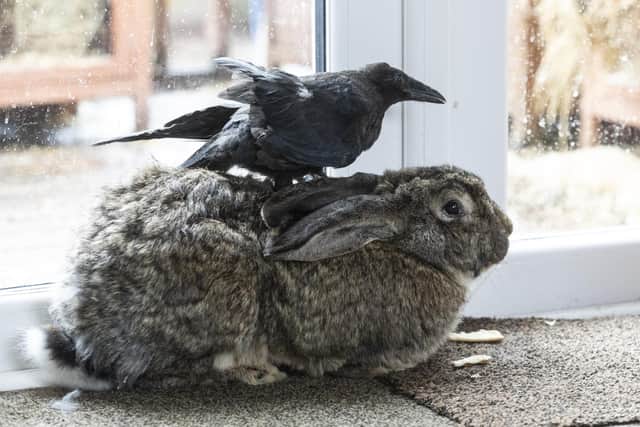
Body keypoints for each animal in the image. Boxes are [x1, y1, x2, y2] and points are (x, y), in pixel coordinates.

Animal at [21, 165, 512, 390]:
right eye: (453, 208)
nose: (507, 233)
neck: (405, 246)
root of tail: (85, 323)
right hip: (226, 302)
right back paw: (257, 373)